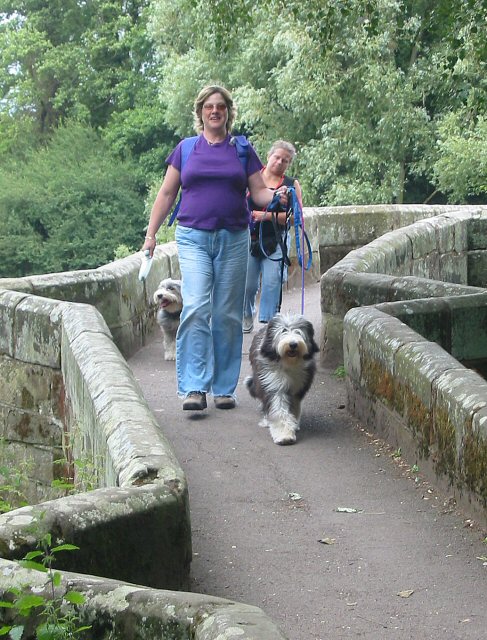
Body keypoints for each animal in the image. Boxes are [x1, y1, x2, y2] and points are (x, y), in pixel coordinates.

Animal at [245, 313, 319, 445]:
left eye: (298, 331)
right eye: (283, 330)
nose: (293, 344)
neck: (288, 364)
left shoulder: (297, 388)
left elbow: (294, 407)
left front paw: (293, 425)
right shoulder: (273, 385)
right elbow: (278, 410)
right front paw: (285, 436)